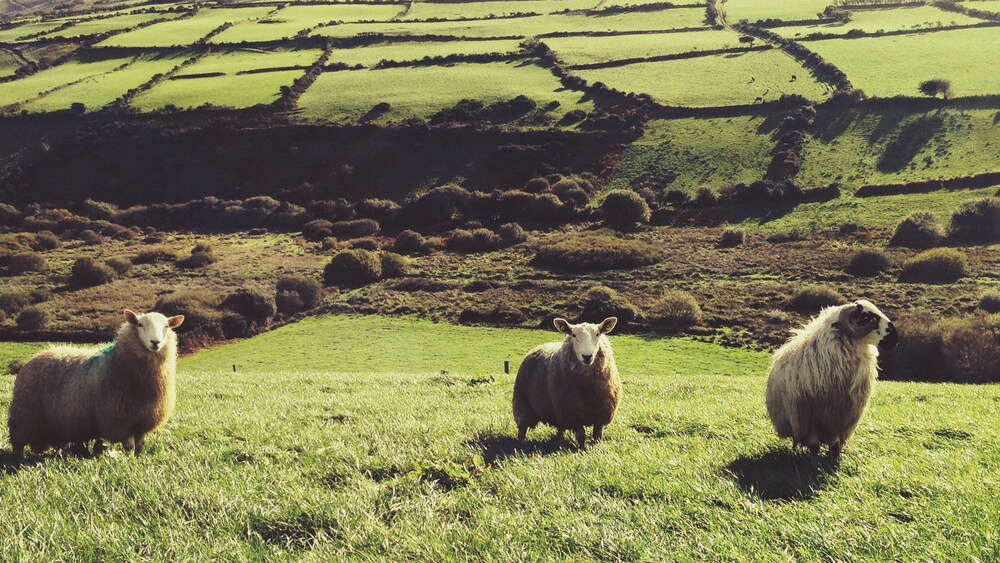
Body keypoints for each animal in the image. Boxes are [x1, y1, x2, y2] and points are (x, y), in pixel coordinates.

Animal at [8, 309, 184, 457]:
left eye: (166, 326)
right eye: (140, 324)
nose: (156, 342)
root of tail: (37, 356)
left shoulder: (143, 419)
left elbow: (139, 445)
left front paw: (139, 458)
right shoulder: (119, 420)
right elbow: (129, 446)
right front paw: (129, 459)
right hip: (24, 415)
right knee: (17, 442)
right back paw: (18, 458)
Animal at [513, 317, 621, 449]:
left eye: (597, 334)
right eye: (573, 334)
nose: (587, 356)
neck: (587, 388)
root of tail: (541, 346)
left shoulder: (601, 413)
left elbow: (597, 435)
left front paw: (596, 447)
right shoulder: (572, 413)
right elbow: (581, 435)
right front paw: (581, 449)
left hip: (557, 411)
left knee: (560, 427)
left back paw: (558, 441)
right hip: (522, 402)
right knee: (522, 426)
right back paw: (522, 442)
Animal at [765, 300, 898, 457]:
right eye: (866, 317)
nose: (895, 338)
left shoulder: (840, 415)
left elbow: (834, 444)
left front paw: (833, 457)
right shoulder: (813, 417)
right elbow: (814, 445)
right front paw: (814, 460)